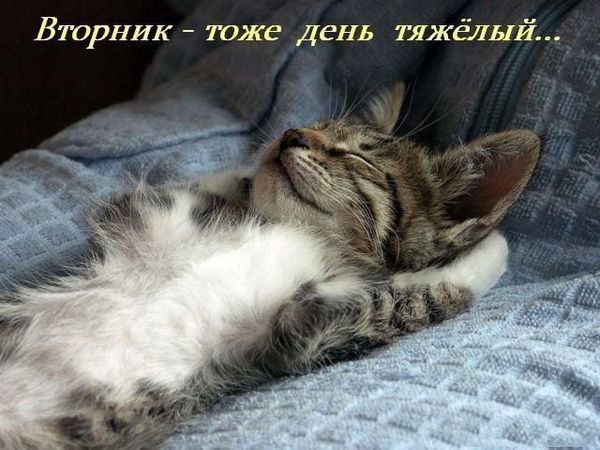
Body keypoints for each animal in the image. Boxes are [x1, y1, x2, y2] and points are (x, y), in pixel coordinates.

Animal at [0, 83, 539, 449]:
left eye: (358, 158)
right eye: (316, 127)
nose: (289, 133)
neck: (295, 231)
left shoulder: (300, 333)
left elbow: (410, 297)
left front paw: (491, 248)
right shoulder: (150, 213)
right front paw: (248, 174)